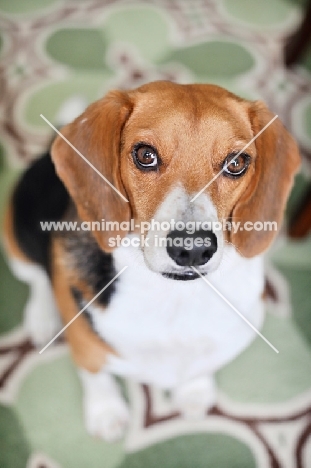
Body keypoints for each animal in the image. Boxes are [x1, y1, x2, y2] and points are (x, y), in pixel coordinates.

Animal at [1, 78, 300, 440]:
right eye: (145, 155)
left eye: (236, 163)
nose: (193, 247)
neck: (173, 298)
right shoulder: (84, 341)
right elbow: (94, 372)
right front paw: (106, 412)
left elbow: (204, 362)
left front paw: (194, 391)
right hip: (15, 235)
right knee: (37, 278)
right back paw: (42, 318)